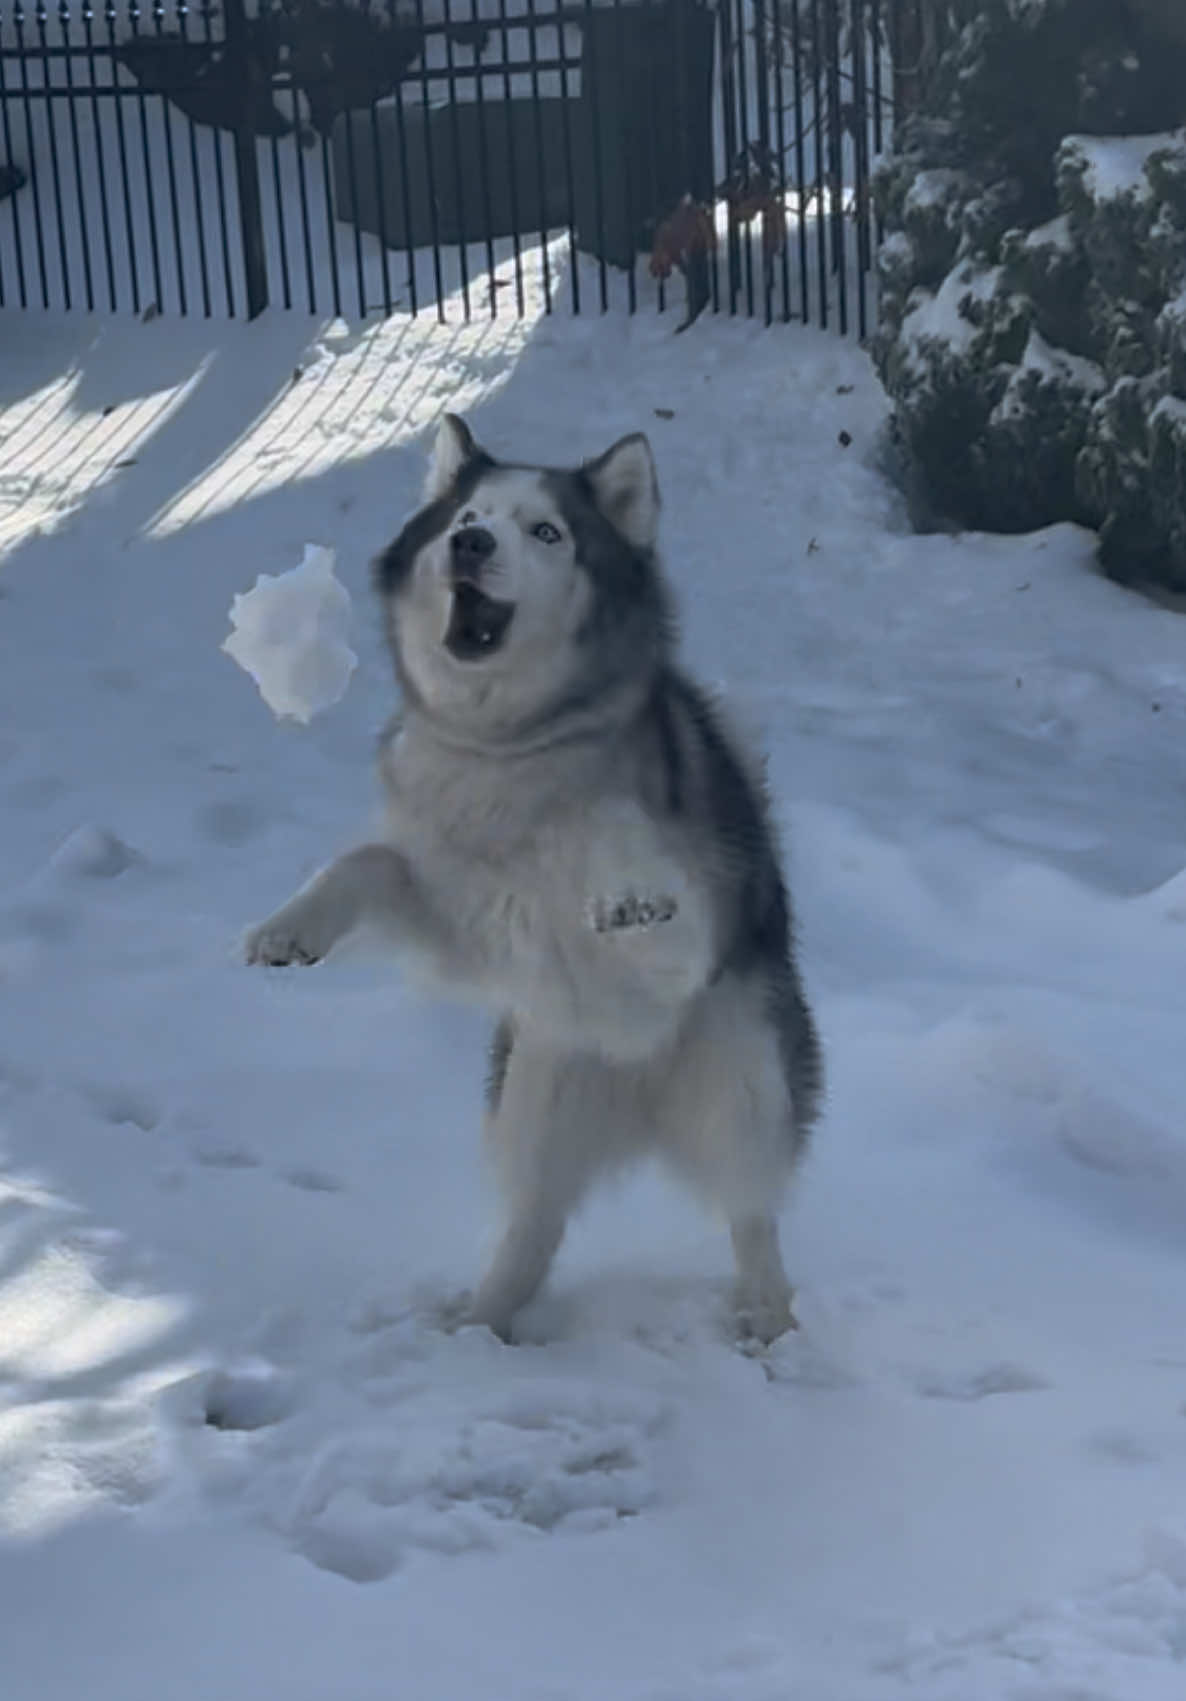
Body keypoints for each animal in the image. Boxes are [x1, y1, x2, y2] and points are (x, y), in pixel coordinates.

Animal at [245, 415, 820, 1340]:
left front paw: (624, 886)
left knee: (751, 1215)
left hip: (746, 1083)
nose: (471, 545)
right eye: (467, 518)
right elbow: (369, 860)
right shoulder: (467, 929)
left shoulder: (692, 933)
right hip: (533, 1096)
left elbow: (618, 831)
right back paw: (478, 1327)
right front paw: (290, 926)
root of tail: (636, 1099)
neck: (508, 752)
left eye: (546, 531)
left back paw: (771, 1331)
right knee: (535, 1220)